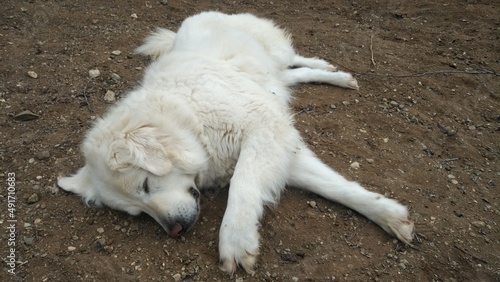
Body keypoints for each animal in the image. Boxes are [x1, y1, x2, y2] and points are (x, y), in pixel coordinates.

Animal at [58, 12, 414, 274]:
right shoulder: (281, 147)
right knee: (290, 75)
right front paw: (391, 216)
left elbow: (243, 185)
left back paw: (331, 70)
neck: (188, 115)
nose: (175, 230)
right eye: (138, 213)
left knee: (295, 58)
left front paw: (235, 239)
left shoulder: (263, 129)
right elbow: (335, 187)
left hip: (274, 49)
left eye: (145, 185)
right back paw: (336, 77)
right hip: (268, 75)